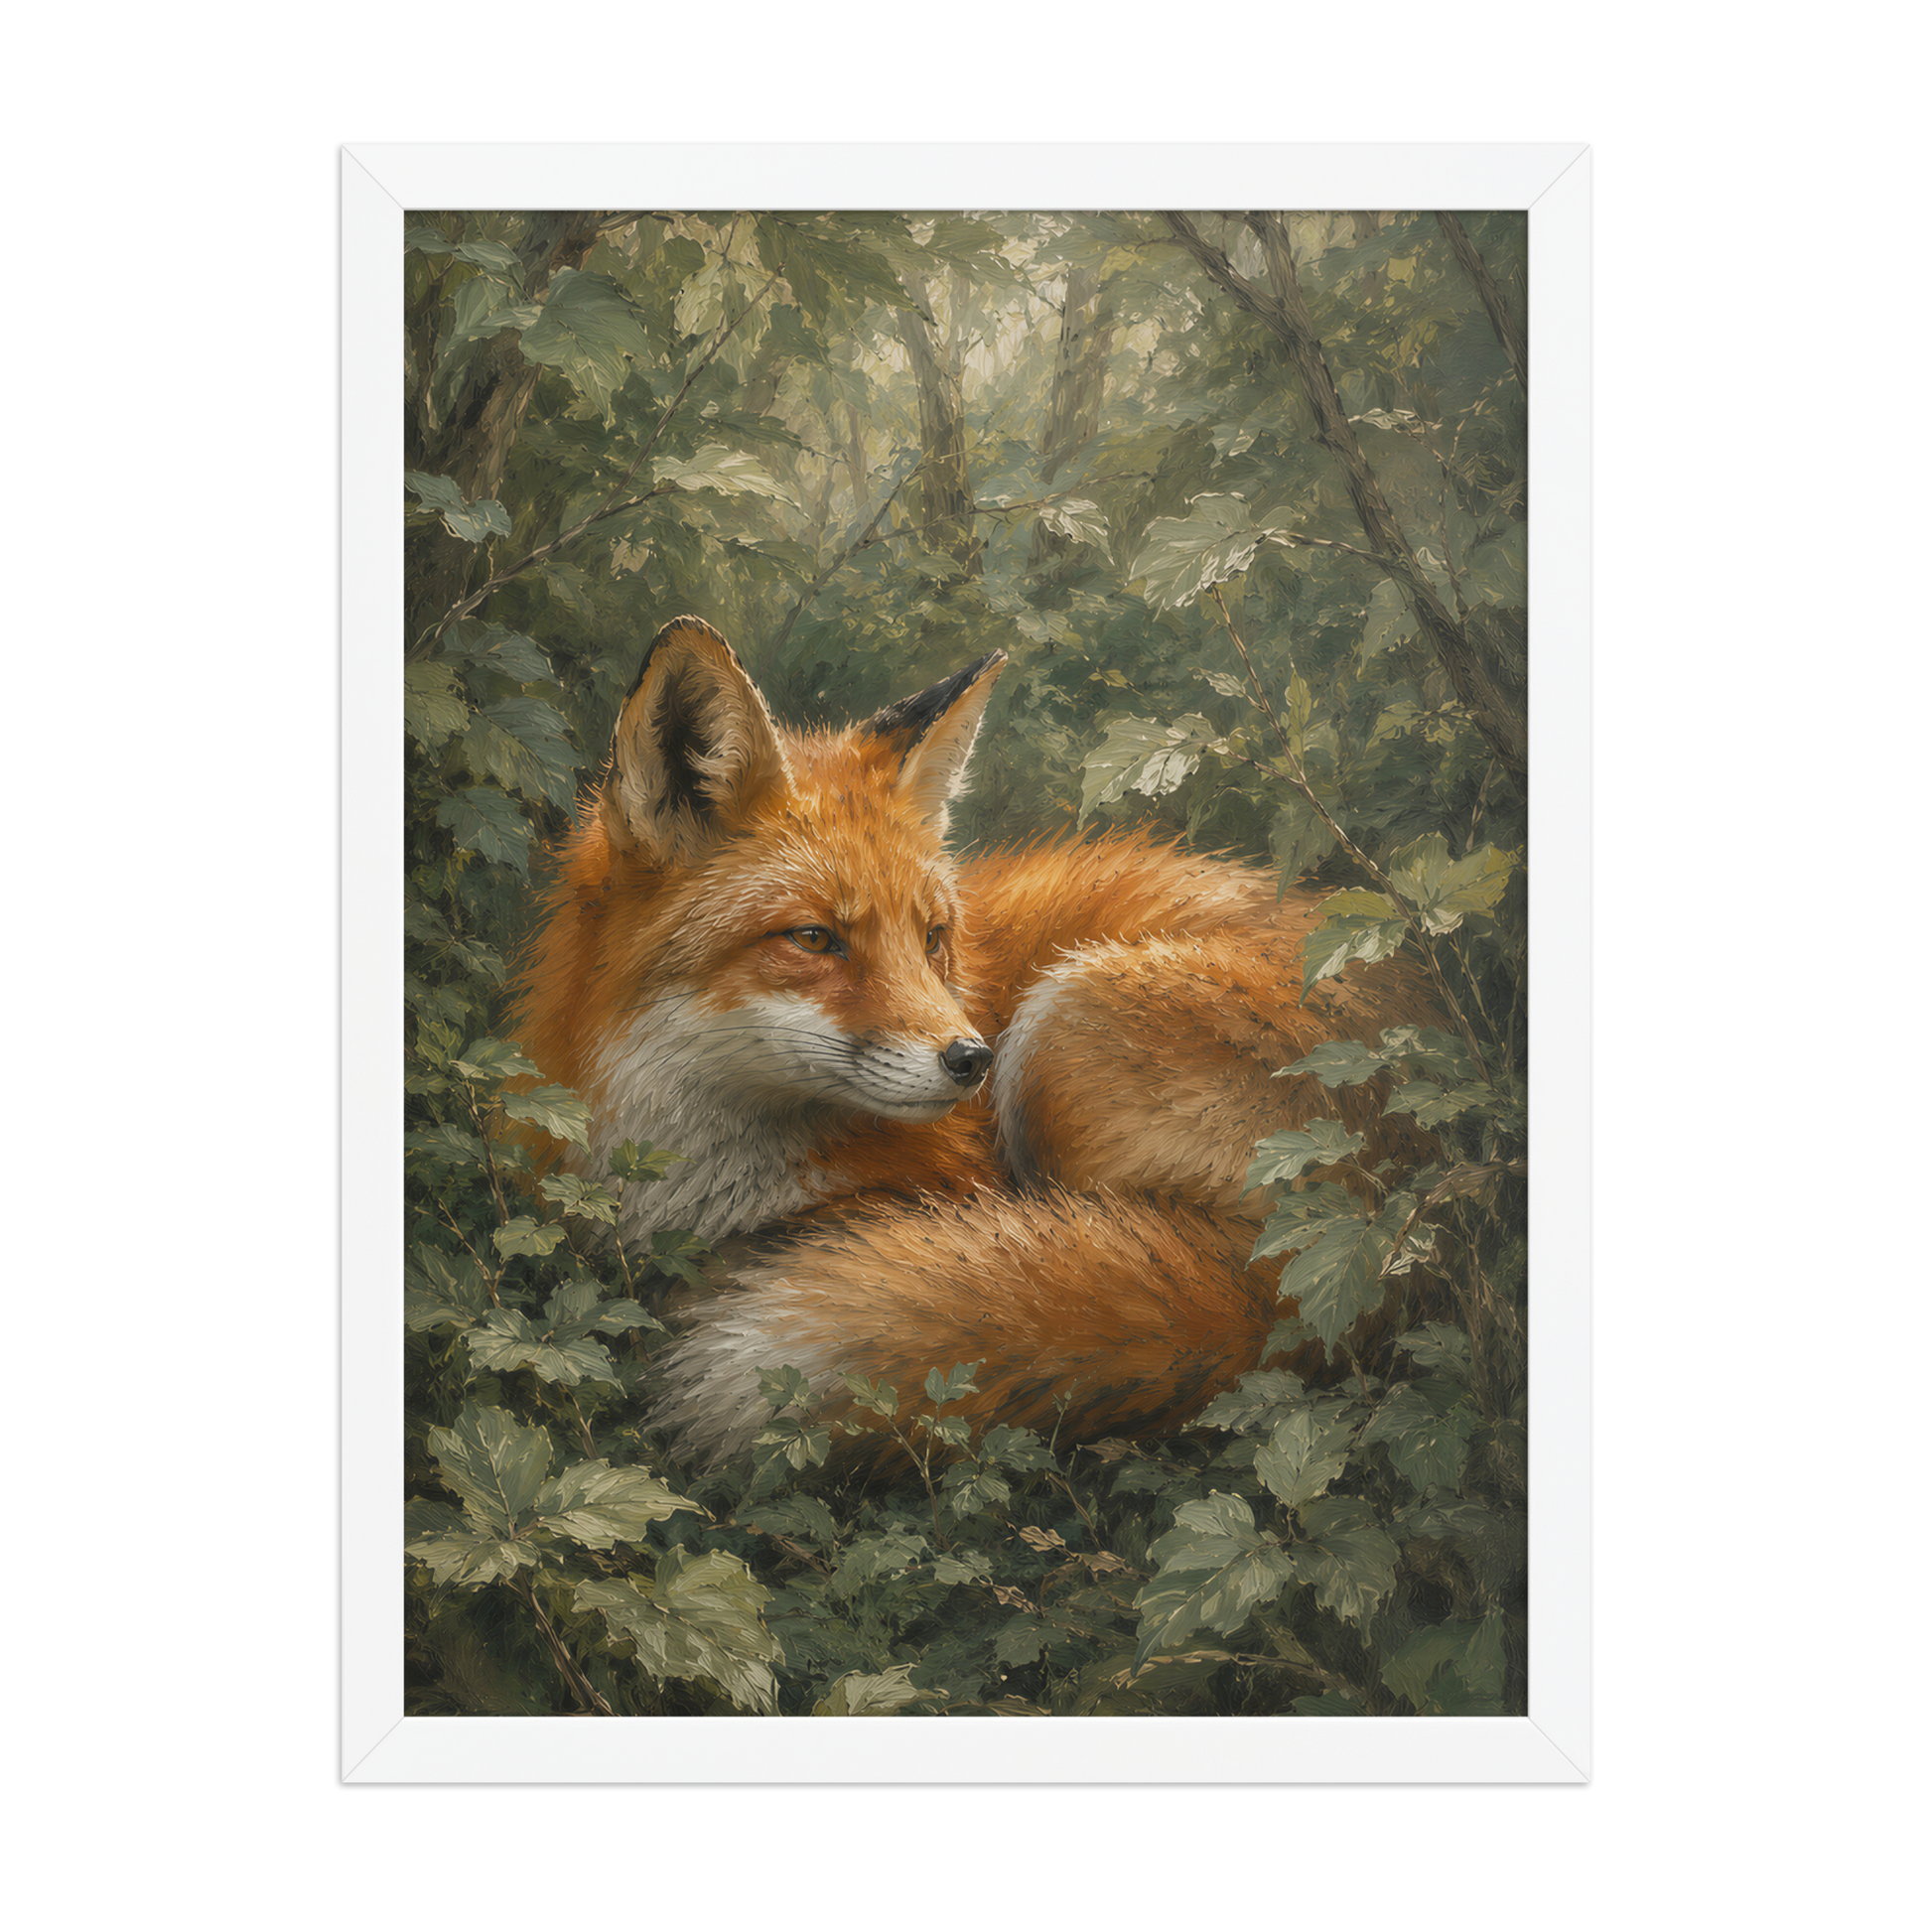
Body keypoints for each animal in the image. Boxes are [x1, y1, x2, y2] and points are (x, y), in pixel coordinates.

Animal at [507, 615, 1444, 1471]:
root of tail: (1358, 1258)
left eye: (932, 938)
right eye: (814, 939)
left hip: (1064, 1026)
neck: (694, 1170)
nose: (971, 1060)